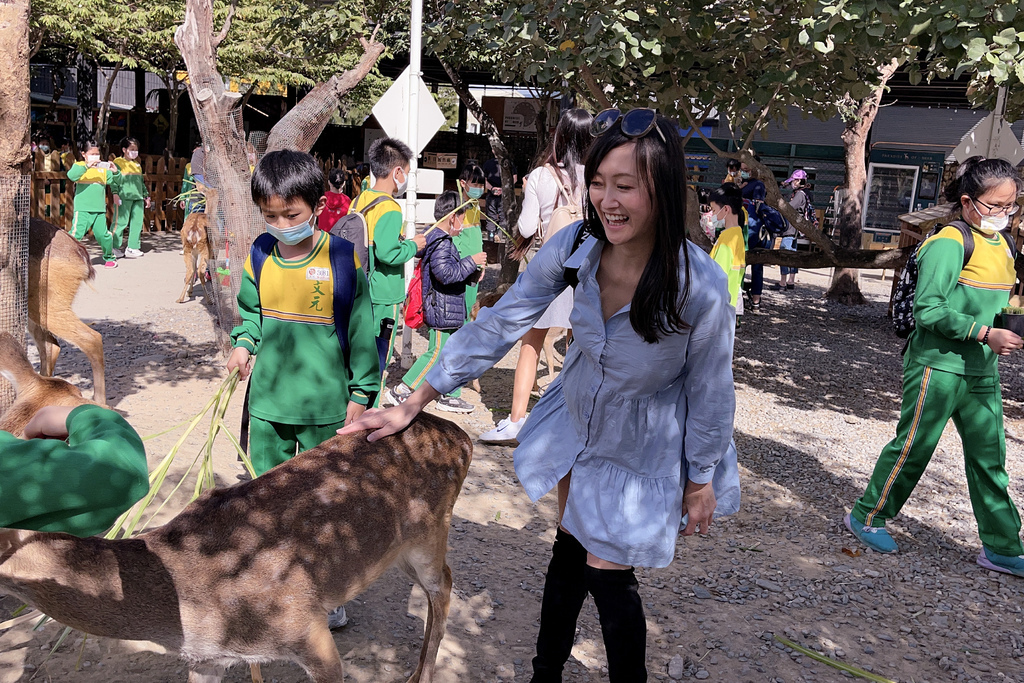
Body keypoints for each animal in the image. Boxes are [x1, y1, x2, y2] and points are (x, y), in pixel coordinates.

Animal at [0, 411, 471, 683]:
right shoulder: (204, 660)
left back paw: (420, 676)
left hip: (429, 533)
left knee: (445, 584)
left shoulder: (306, 627)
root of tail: (462, 437)